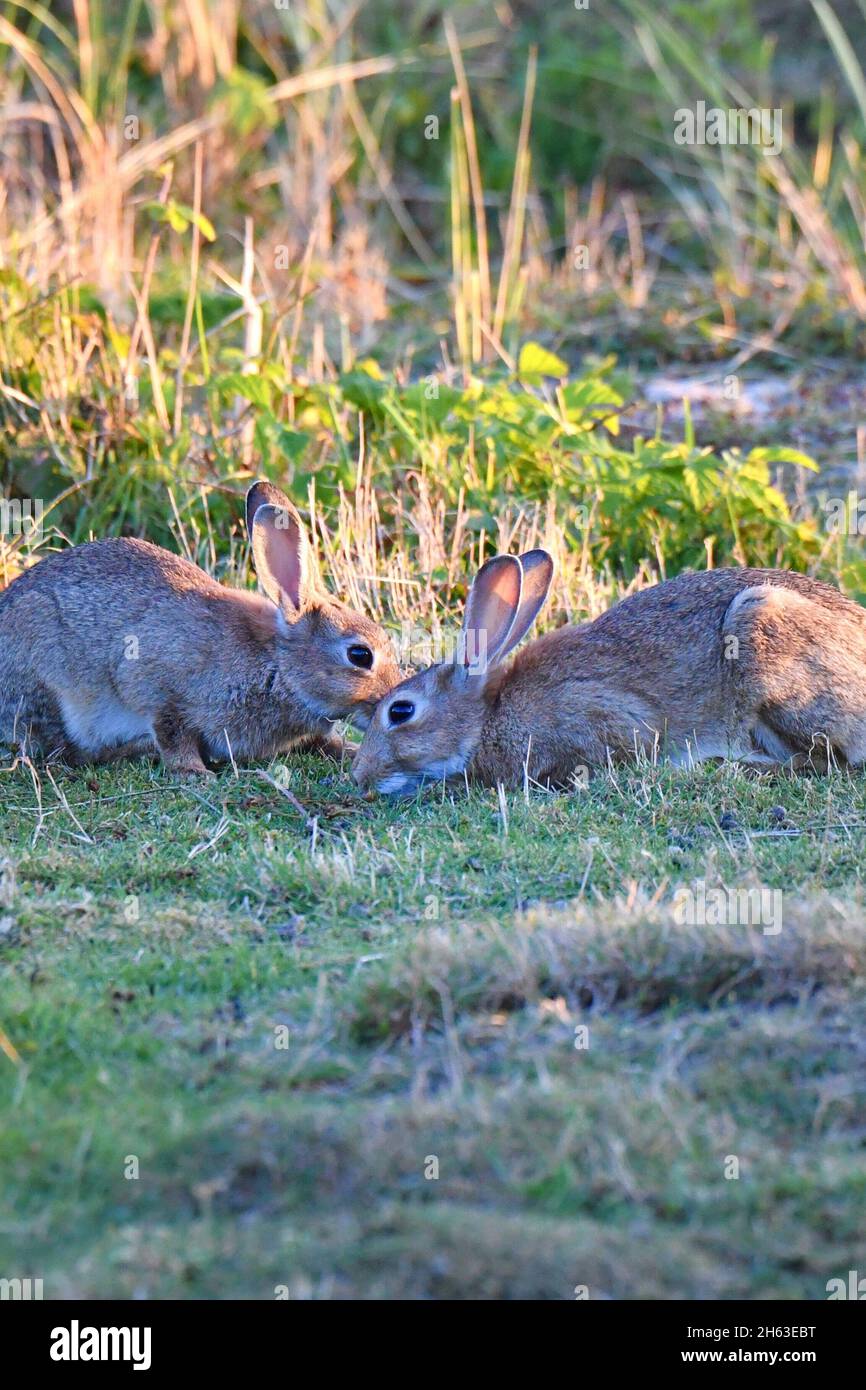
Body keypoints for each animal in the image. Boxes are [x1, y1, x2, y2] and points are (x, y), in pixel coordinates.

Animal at [0, 483, 400, 778]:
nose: (392, 703)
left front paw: (348, 749)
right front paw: (194, 773)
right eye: (360, 655)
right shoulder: (156, 685)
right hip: (47, 684)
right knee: (63, 752)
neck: (278, 668)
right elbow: (172, 732)